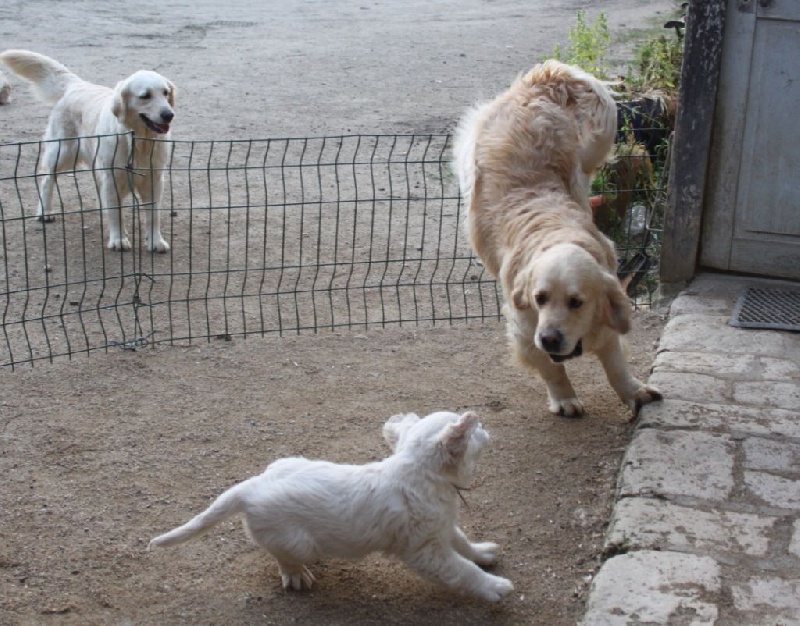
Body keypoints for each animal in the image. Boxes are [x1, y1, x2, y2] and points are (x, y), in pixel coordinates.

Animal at [0, 49, 176, 252]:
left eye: (165, 93)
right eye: (145, 96)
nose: (169, 114)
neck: (137, 139)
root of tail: (77, 85)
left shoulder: (154, 178)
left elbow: (153, 214)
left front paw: (155, 241)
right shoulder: (112, 177)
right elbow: (116, 212)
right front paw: (118, 239)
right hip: (62, 152)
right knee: (47, 180)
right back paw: (45, 211)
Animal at [148, 410, 514, 602]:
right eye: (476, 431)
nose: (485, 427)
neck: (417, 473)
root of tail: (251, 488)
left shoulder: (441, 525)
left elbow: (463, 543)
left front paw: (483, 553)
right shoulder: (424, 550)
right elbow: (461, 570)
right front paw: (494, 587)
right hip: (298, 542)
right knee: (283, 557)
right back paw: (297, 575)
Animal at [453, 60, 662, 418]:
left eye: (576, 302)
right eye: (540, 298)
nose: (551, 338)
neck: (554, 233)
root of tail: (540, 79)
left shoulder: (607, 319)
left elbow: (616, 366)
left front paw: (634, 392)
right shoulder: (524, 330)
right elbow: (552, 368)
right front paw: (564, 399)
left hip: (578, 176)